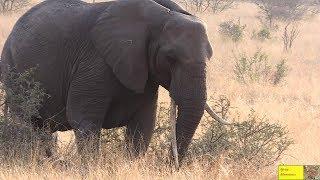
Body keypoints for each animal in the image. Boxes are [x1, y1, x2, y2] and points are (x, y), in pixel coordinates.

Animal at [0, 0, 228, 165]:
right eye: (170, 58)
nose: (170, 165)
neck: (160, 16)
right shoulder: (93, 63)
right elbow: (84, 121)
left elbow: (143, 125)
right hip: (12, 69)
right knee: (26, 123)